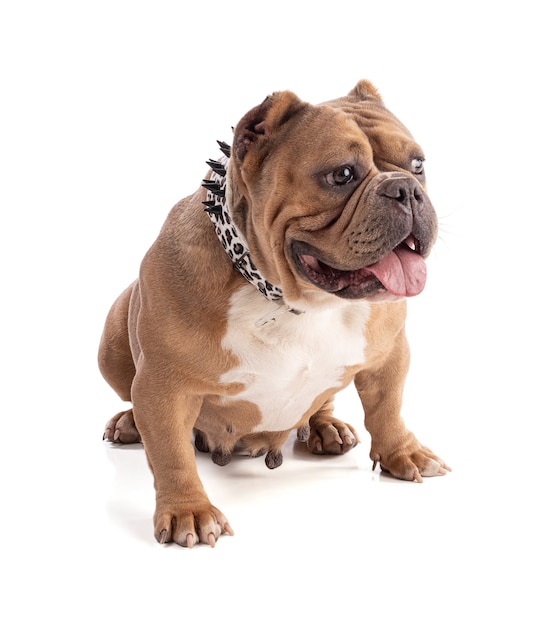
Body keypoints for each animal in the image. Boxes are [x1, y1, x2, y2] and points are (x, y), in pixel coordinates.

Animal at [100, 79, 452, 544]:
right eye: (341, 175)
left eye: (418, 165)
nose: (407, 188)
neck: (294, 301)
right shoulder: (163, 386)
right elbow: (171, 453)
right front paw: (188, 510)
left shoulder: (390, 353)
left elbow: (387, 407)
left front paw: (403, 452)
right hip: (111, 340)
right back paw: (128, 424)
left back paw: (325, 427)